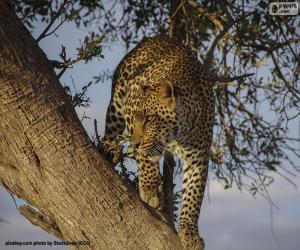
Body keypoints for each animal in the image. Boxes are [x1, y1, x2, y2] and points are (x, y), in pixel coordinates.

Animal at [104, 35, 214, 250]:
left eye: (148, 119)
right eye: (138, 118)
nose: (134, 144)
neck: (178, 133)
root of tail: (152, 38)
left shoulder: (198, 158)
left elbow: (193, 197)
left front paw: (189, 233)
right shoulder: (130, 108)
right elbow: (145, 159)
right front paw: (151, 189)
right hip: (117, 105)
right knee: (109, 131)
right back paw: (109, 150)